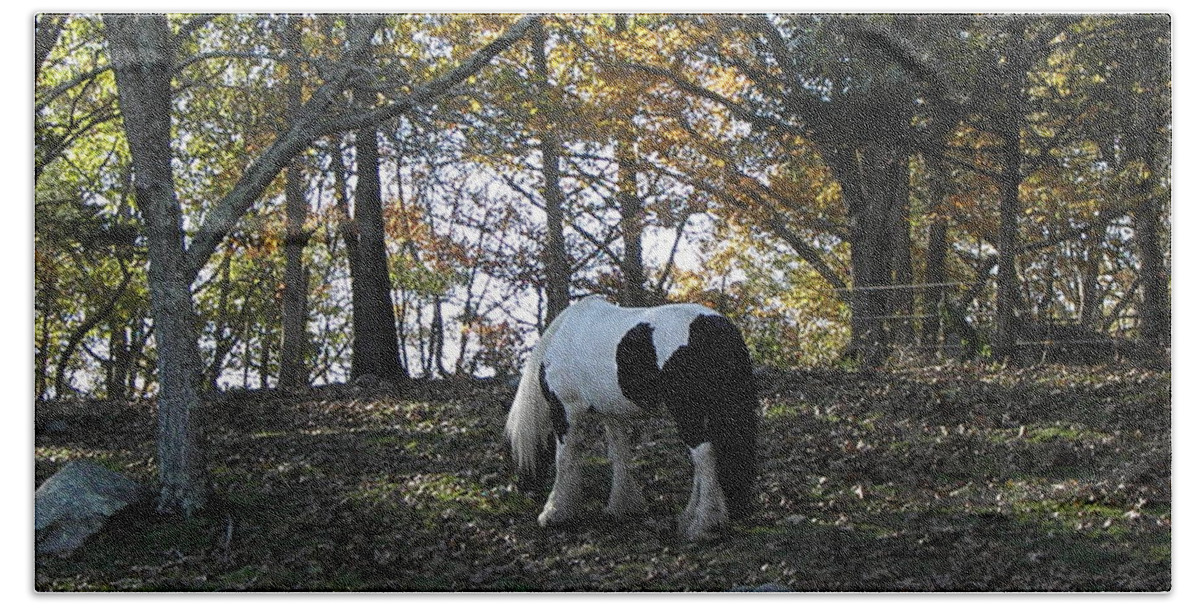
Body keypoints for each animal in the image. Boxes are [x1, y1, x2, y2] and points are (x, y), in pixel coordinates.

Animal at [501, 296, 753, 542]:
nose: (521, 489)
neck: (561, 337)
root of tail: (716, 326)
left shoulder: (564, 409)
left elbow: (564, 458)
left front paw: (554, 513)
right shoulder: (611, 413)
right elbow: (619, 454)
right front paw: (622, 505)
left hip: (689, 413)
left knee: (704, 457)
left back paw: (702, 525)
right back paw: (691, 518)